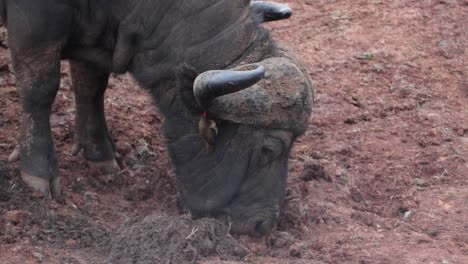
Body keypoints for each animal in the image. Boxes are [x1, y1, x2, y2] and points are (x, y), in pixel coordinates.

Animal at [1, 0, 314, 235]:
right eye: (269, 148)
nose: (263, 225)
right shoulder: (36, 22)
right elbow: (40, 88)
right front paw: (38, 170)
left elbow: (91, 84)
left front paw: (99, 153)